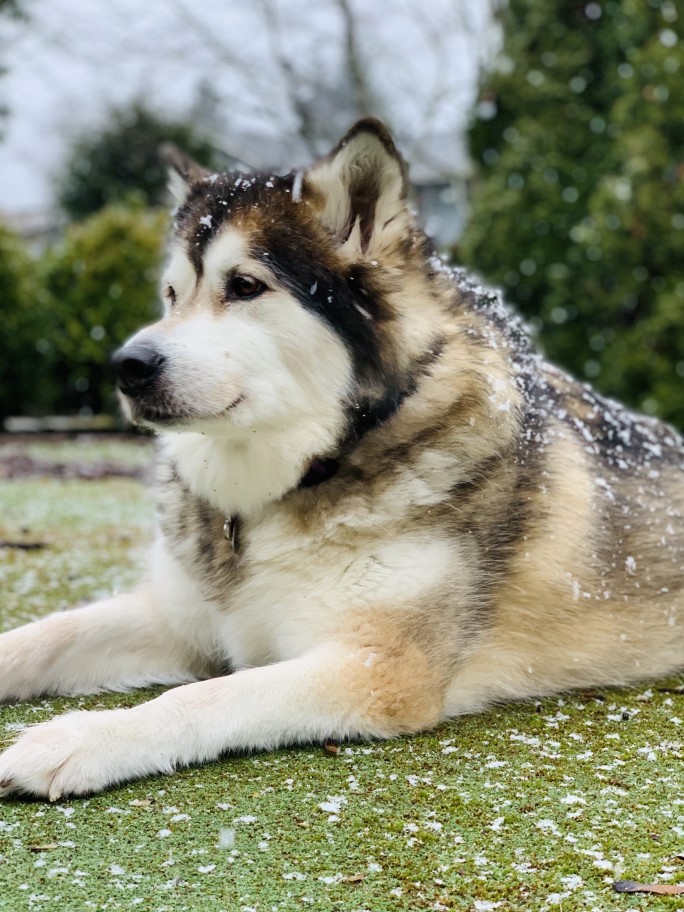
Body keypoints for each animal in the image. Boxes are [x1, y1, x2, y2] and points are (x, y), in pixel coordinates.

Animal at [1, 121, 684, 800]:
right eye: (171, 295)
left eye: (244, 286)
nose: (127, 366)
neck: (297, 476)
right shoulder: (178, 619)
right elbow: (45, 635)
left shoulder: (379, 666)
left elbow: (205, 695)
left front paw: (81, 739)